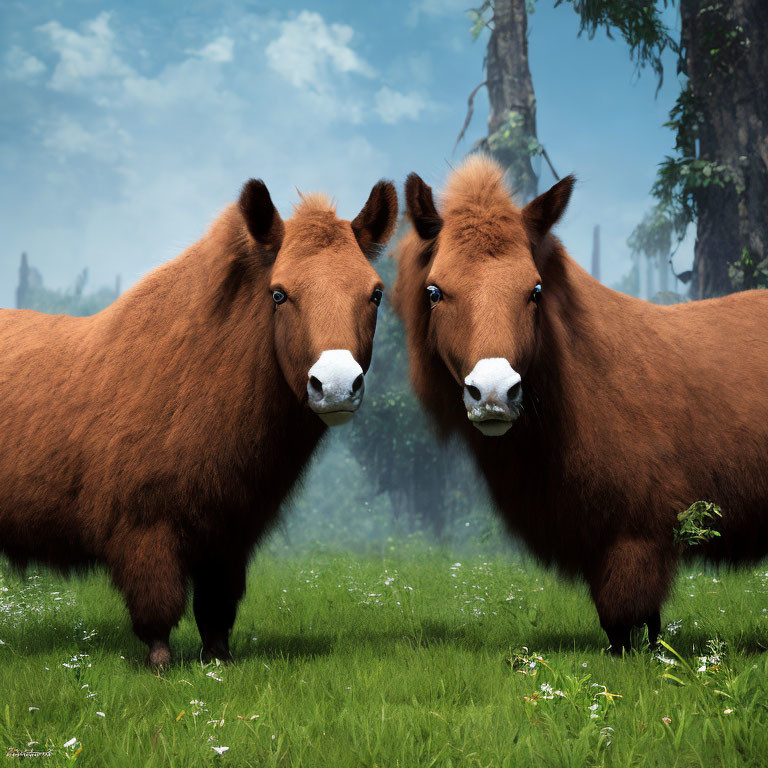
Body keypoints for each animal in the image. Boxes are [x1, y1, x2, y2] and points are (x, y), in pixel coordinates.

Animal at [0, 178, 396, 664]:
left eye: (376, 293)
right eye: (278, 294)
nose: (337, 384)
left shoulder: (229, 539)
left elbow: (216, 614)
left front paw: (218, 662)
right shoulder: (146, 532)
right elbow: (158, 615)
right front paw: (162, 664)